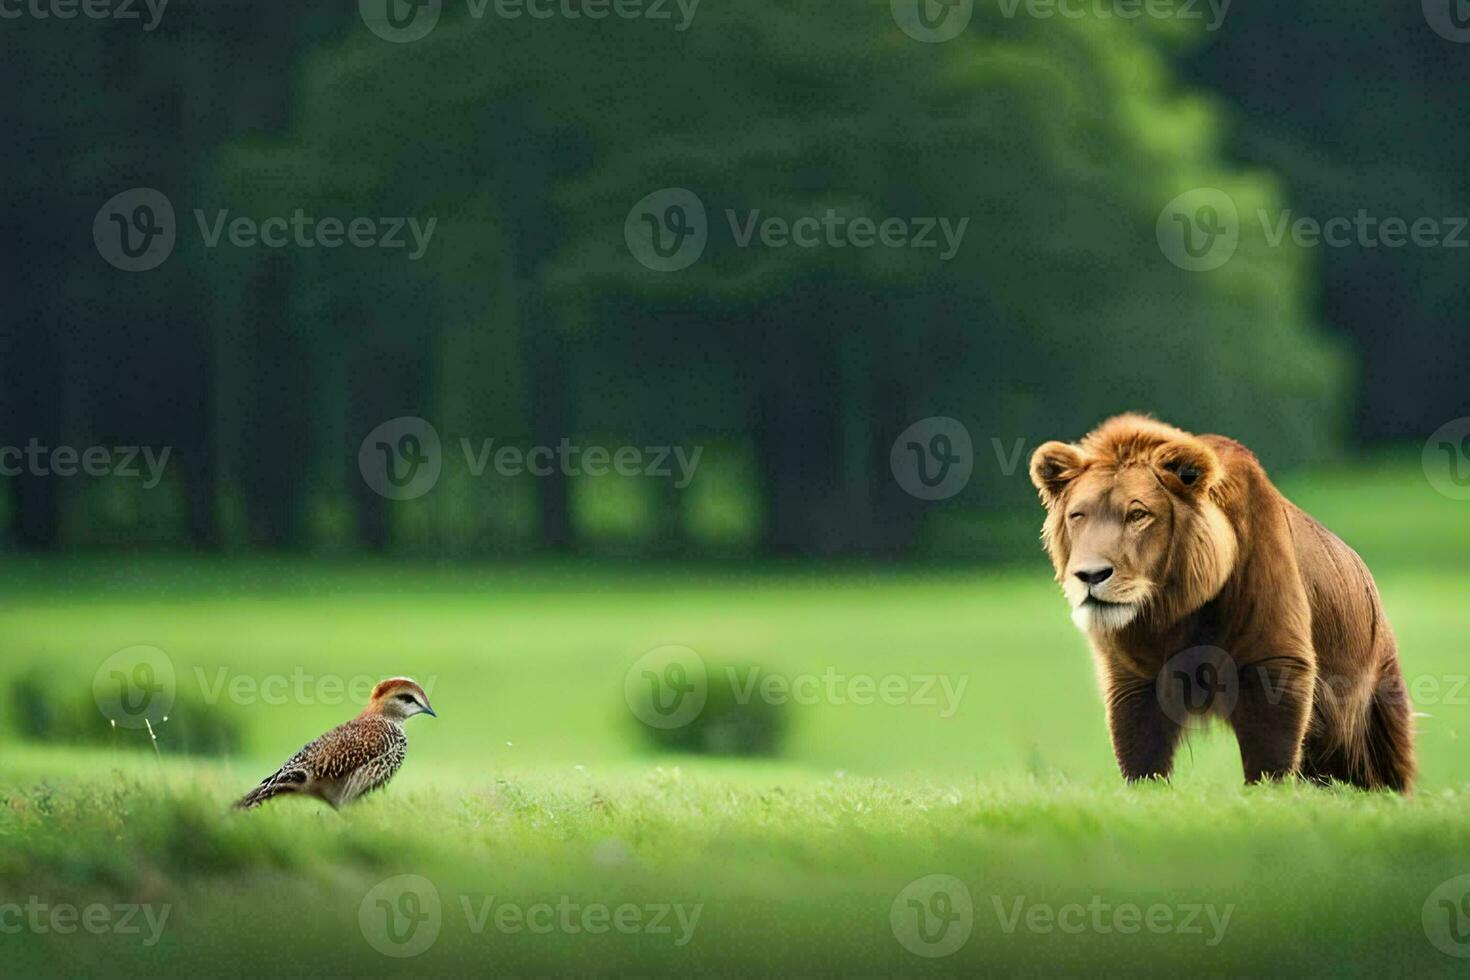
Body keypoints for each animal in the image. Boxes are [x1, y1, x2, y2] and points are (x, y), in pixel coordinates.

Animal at [1029, 411, 1417, 787]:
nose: (1091, 575)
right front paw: (1146, 786)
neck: (1178, 605)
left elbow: (1271, 733)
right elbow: (1139, 739)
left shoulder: (1271, 645)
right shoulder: (1134, 667)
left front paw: (1267, 788)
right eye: (1078, 515)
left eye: (1138, 514)